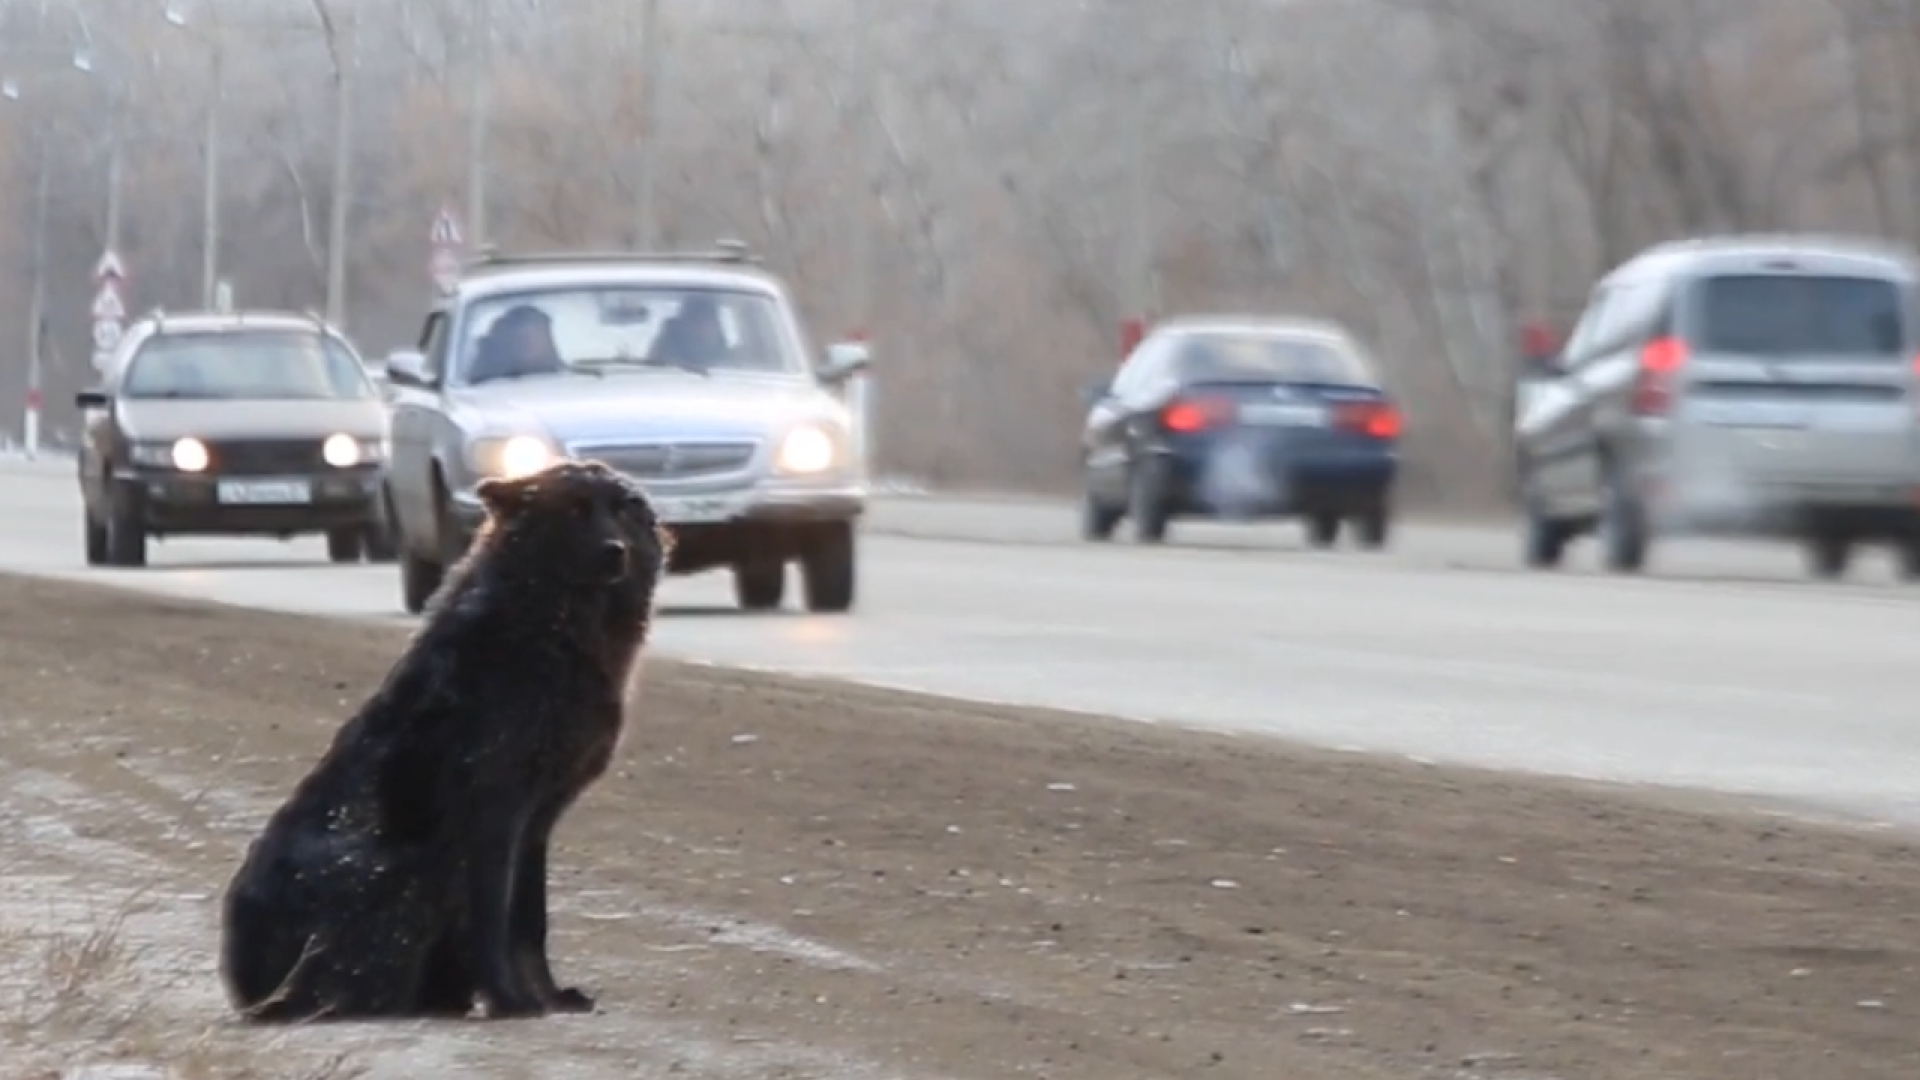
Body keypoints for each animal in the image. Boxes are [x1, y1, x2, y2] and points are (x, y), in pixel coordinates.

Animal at [215, 455, 668, 1014]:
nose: (614, 551)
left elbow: (530, 924)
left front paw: (548, 997)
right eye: (575, 512)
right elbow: (493, 920)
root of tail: (244, 987)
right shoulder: (494, 811)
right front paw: (510, 1000)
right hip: (397, 867)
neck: (549, 628)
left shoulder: (536, 822)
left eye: (624, 511)